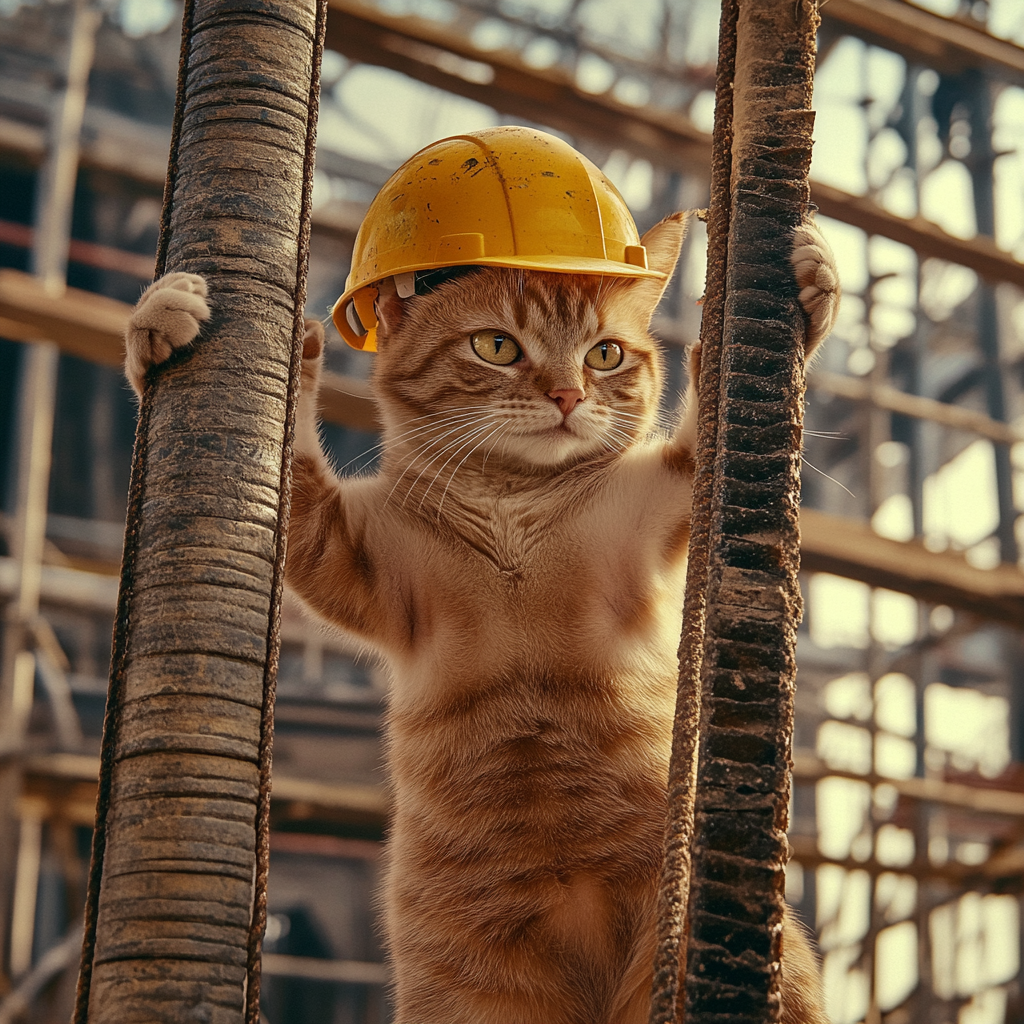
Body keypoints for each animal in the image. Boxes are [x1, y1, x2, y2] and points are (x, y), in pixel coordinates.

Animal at [123, 211, 835, 1019]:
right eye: (497, 346)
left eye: (606, 354)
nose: (566, 396)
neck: (511, 506)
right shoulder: (340, 552)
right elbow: (292, 468)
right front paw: (162, 323)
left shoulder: (661, 510)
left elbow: (702, 434)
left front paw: (808, 283)